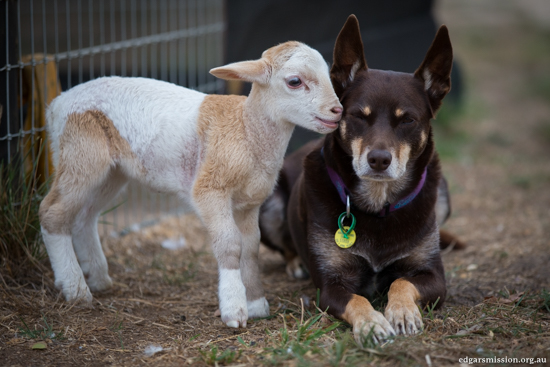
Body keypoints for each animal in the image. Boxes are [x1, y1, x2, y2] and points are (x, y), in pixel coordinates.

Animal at [38, 41, 342, 330]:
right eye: (294, 81)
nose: (337, 111)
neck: (246, 129)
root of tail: (55, 106)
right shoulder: (209, 190)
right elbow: (230, 245)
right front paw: (235, 311)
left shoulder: (249, 203)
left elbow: (251, 248)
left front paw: (256, 304)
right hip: (81, 153)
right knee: (52, 212)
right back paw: (75, 289)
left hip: (112, 171)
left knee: (85, 217)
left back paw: (99, 278)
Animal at [260, 14, 464, 346]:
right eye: (358, 115)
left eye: (408, 120)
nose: (379, 159)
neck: (378, 206)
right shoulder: (330, 285)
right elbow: (357, 300)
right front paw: (372, 324)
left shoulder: (433, 276)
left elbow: (401, 283)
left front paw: (403, 313)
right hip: (269, 205)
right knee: (285, 246)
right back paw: (295, 263)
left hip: (443, 194)